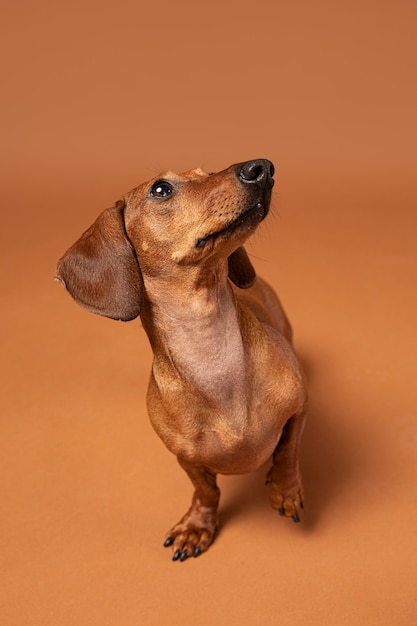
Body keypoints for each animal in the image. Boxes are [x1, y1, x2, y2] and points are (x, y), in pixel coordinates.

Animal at [55, 158, 306, 560]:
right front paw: (197, 525)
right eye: (161, 189)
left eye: (207, 173)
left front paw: (285, 490)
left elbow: (287, 450)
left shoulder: (299, 408)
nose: (261, 167)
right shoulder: (186, 459)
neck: (212, 354)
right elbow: (207, 490)